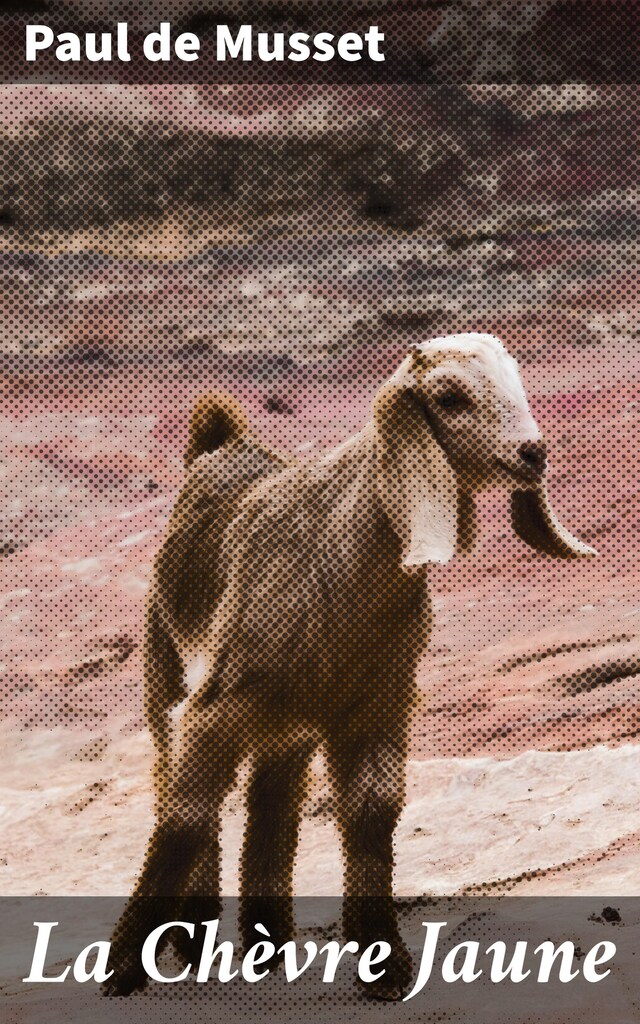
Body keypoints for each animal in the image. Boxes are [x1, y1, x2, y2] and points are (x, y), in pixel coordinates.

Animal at [105, 333, 593, 999]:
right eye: (449, 396)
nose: (532, 453)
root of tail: (221, 441)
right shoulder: (217, 703)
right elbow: (186, 816)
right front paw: (122, 968)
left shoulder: (376, 703)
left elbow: (371, 811)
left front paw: (384, 965)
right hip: (169, 676)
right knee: (174, 788)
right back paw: (195, 941)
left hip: (287, 725)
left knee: (272, 804)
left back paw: (268, 947)